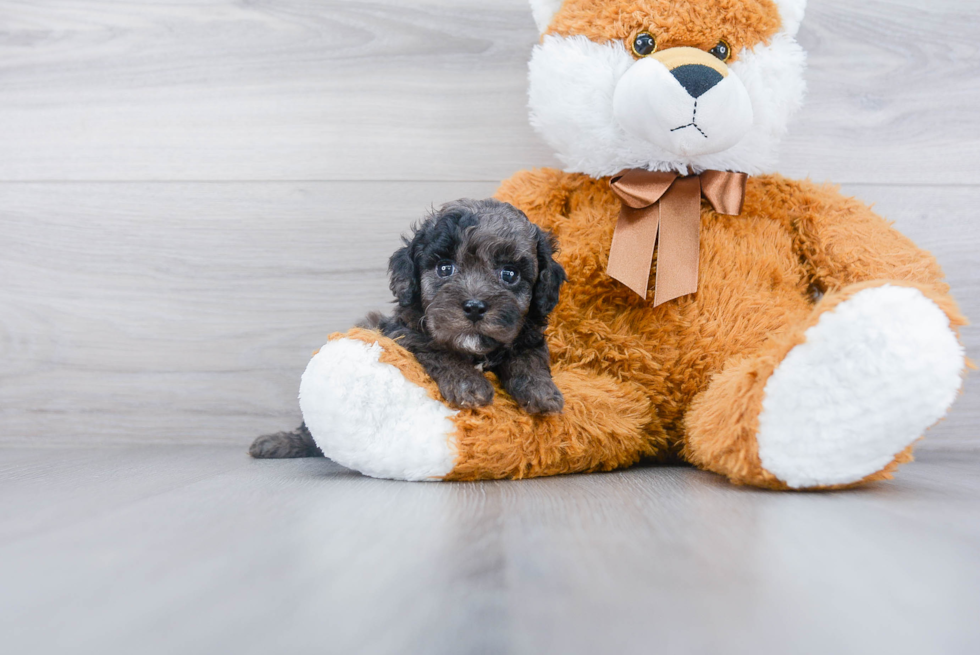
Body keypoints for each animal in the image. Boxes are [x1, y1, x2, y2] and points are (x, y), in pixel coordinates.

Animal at [251, 197, 568, 458]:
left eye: (509, 274)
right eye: (444, 268)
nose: (475, 307)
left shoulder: (527, 336)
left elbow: (528, 358)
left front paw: (542, 392)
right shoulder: (405, 333)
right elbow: (438, 351)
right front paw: (468, 384)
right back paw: (279, 443)